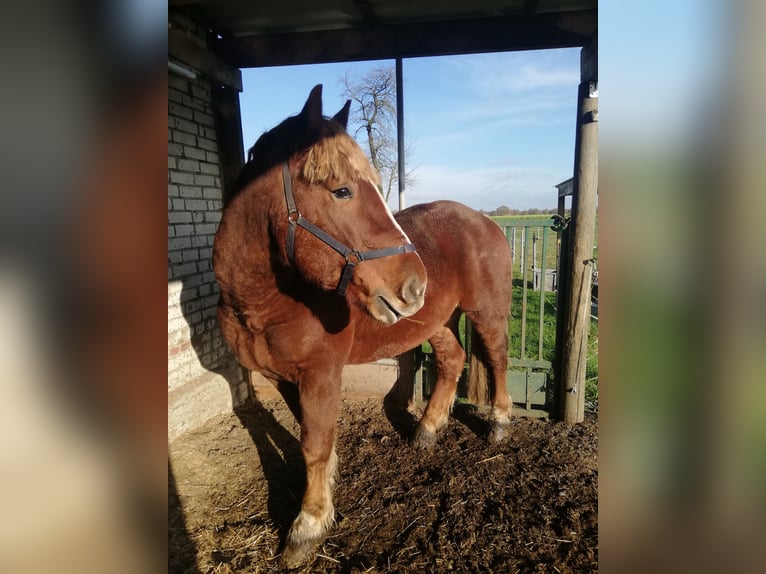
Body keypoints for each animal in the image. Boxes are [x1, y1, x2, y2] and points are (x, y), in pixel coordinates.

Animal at [213, 88, 512, 568]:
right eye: (342, 190)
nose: (415, 285)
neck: (265, 302)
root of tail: (484, 221)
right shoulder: (281, 378)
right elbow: (310, 437)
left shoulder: (320, 374)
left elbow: (313, 444)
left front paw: (309, 524)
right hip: (434, 321)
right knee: (452, 360)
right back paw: (427, 430)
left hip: (486, 313)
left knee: (497, 358)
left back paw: (500, 423)